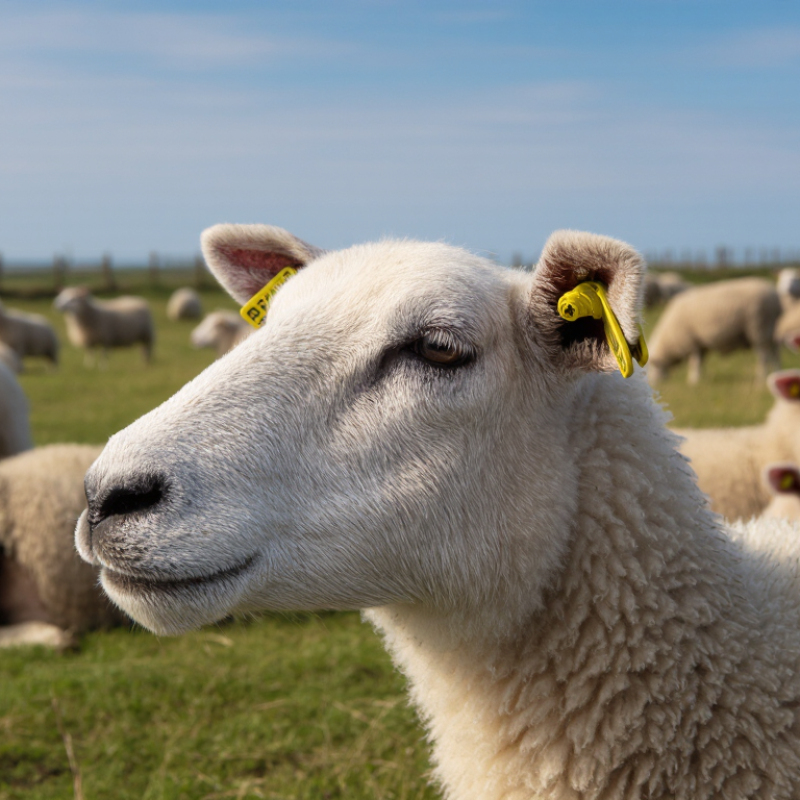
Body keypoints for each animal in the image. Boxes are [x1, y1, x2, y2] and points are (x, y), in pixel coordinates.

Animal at [647, 277, 782, 384]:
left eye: (651, 366)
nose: (654, 384)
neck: (669, 341)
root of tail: (775, 297)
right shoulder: (700, 345)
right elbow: (700, 362)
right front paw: (699, 379)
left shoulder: (692, 343)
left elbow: (694, 364)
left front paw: (693, 380)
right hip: (771, 331)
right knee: (775, 354)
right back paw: (776, 373)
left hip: (759, 329)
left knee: (764, 357)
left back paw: (760, 378)